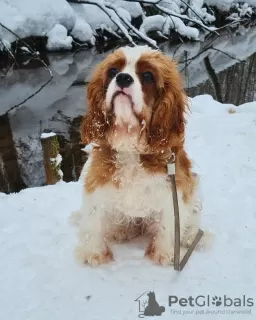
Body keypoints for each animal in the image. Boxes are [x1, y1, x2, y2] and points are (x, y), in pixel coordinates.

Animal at [70, 44, 208, 264]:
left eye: (148, 75)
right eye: (113, 71)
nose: (123, 78)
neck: (130, 140)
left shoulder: (173, 187)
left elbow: (170, 221)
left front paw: (163, 253)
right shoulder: (97, 181)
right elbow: (93, 218)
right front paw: (94, 253)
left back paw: (190, 236)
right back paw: (121, 230)